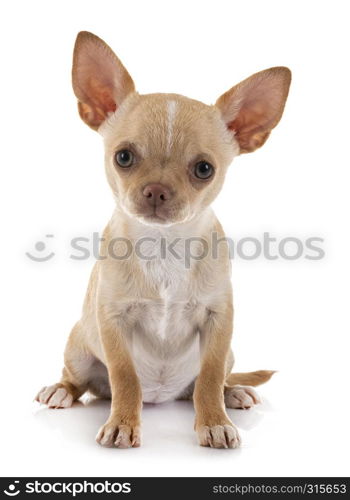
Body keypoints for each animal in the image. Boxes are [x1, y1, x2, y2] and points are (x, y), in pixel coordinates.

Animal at [36, 31, 290, 450]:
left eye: (204, 169)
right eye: (123, 157)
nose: (156, 190)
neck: (163, 245)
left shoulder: (219, 323)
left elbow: (209, 377)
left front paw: (214, 421)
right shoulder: (112, 321)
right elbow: (124, 377)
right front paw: (122, 423)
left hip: (229, 354)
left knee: (210, 382)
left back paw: (232, 393)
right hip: (78, 346)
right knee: (81, 381)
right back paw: (61, 390)